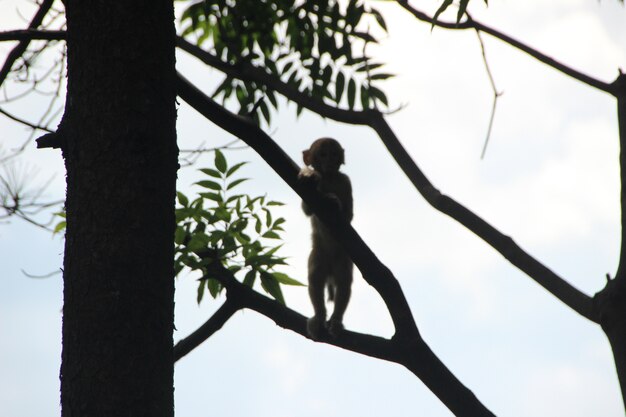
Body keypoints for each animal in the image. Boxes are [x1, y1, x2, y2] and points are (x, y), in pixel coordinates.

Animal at [296, 136, 352, 338]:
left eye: (334, 154)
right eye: (323, 154)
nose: (330, 161)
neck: (329, 178)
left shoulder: (345, 181)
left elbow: (348, 216)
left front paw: (334, 201)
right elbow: (307, 209)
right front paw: (310, 177)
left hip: (343, 258)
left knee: (344, 282)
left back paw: (336, 320)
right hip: (318, 255)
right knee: (315, 279)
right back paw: (319, 316)